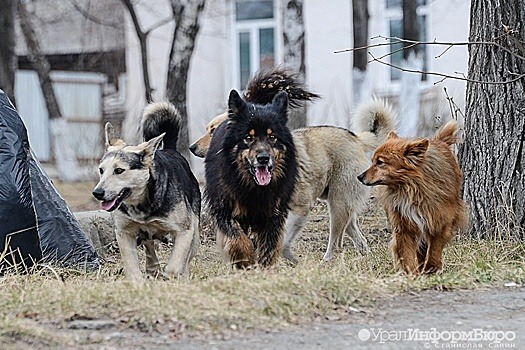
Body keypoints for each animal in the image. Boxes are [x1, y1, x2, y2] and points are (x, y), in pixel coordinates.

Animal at [204, 89, 294, 268]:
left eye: (272, 137)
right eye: (248, 137)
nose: (263, 158)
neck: (255, 187)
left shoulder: (273, 214)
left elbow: (269, 246)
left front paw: (265, 268)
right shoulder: (225, 210)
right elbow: (239, 239)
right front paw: (246, 262)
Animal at [356, 121, 466, 274]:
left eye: (380, 162)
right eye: (372, 161)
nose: (359, 177)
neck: (410, 188)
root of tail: (438, 140)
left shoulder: (440, 222)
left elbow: (434, 249)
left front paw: (431, 268)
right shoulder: (403, 226)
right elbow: (406, 253)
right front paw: (412, 274)